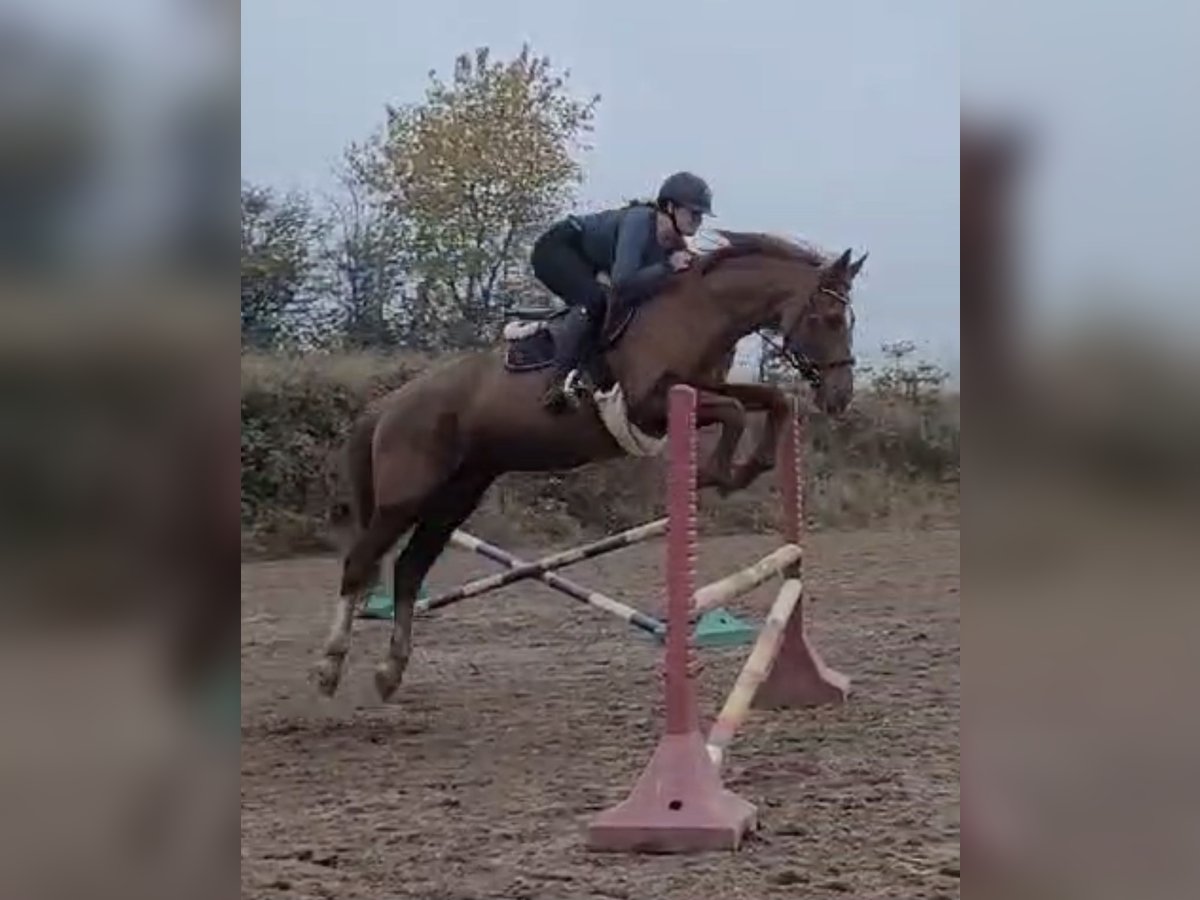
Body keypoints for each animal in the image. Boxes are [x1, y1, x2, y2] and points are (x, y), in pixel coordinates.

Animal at [316, 229, 864, 700]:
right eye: (826, 319)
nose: (840, 397)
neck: (700, 310)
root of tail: (389, 405)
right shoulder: (651, 404)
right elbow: (732, 412)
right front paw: (718, 475)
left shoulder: (704, 387)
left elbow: (772, 400)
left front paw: (752, 466)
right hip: (405, 496)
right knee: (360, 563)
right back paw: (329, 666)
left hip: (456, 497)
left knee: (409, 569)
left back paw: (390, 671)